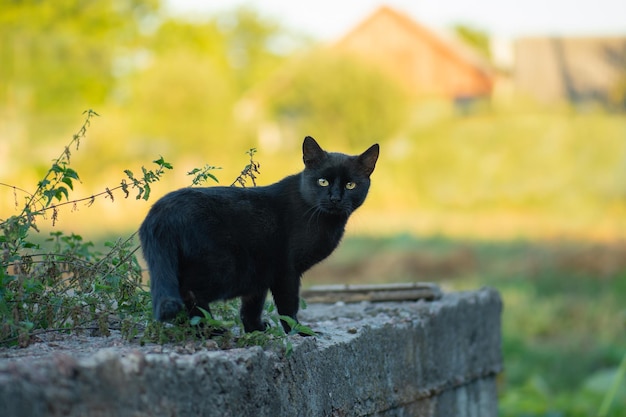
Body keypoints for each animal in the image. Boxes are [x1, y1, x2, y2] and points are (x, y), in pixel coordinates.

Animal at [138, 136, 378, 332]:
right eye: (323, 181)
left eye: (350, 185)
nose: (335, 198)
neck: (325, 219)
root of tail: (160, 212)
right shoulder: (286, 270)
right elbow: (288, 306)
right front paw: (300, 332)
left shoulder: (261, 271)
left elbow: (252, 305)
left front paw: (256, 330)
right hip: (224, 267)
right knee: (186, 291)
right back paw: (207, 329)